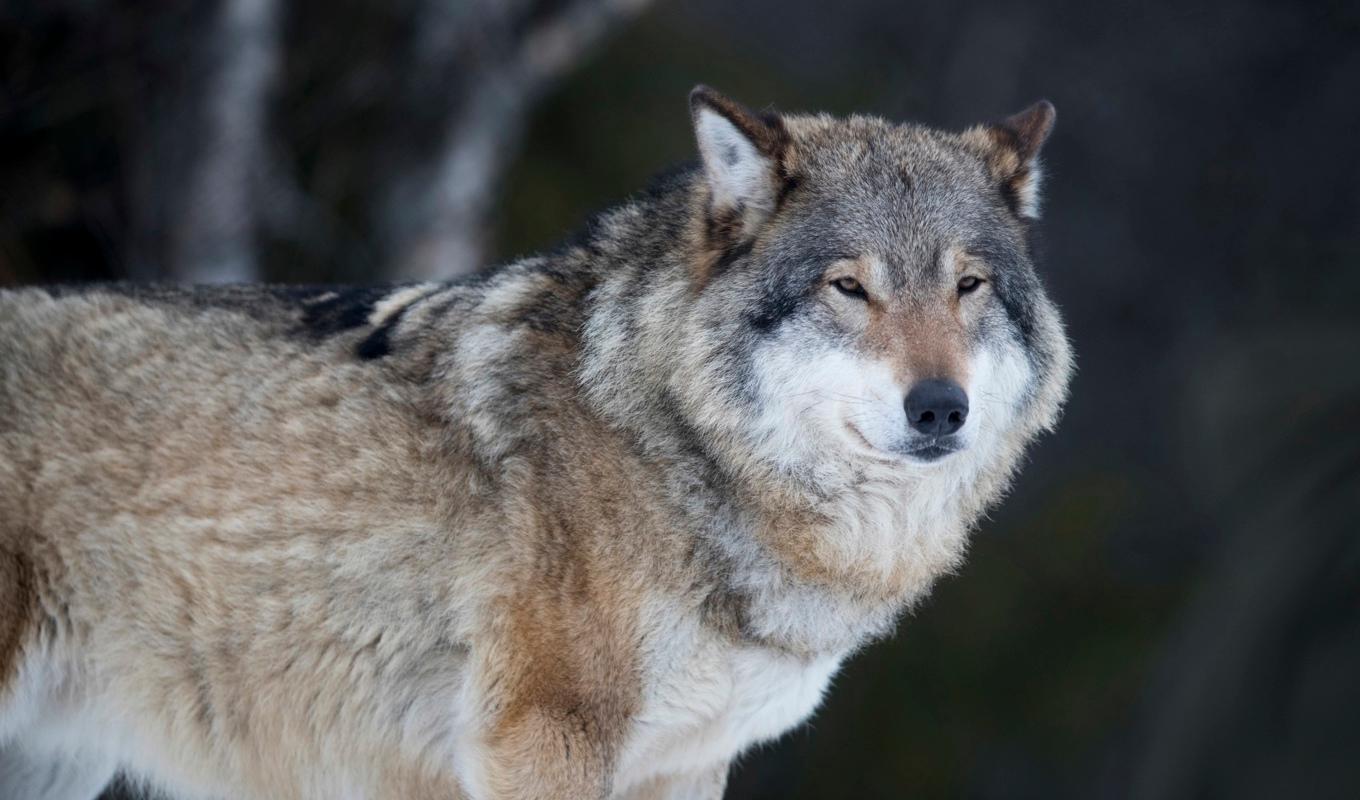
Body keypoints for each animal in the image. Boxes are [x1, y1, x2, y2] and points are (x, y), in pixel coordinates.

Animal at [0, 87, 1071, 800]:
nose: (940, 409)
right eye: (850, 287)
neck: (670, 447)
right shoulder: (543, 738)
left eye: (968, 286)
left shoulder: (686, 765)